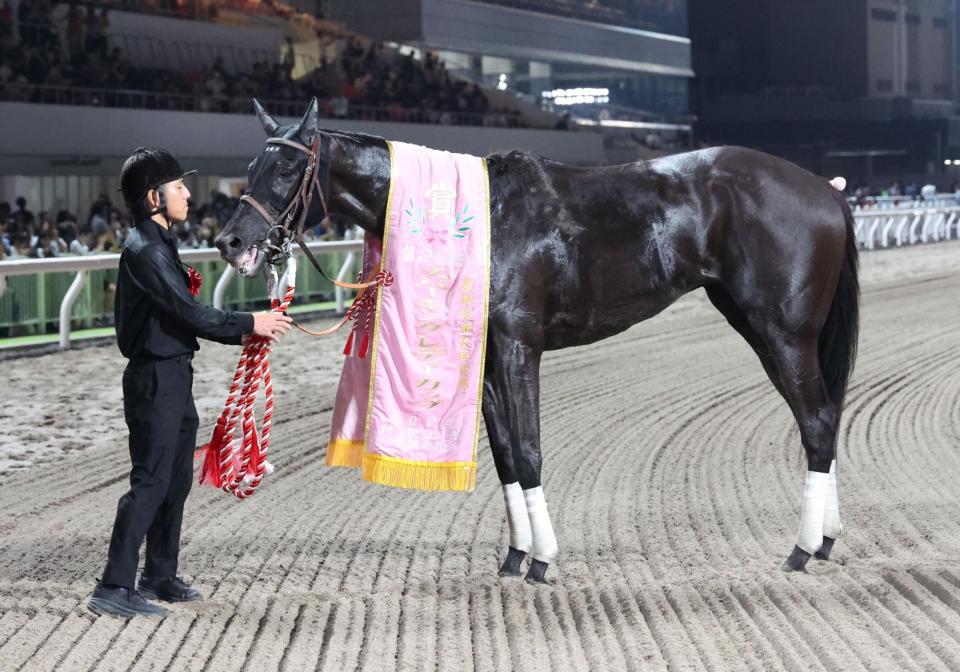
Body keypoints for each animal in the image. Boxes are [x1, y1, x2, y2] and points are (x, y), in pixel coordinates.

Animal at [219, 98, 864, 584]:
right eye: (249, 165)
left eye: (284, 171)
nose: (231, 242)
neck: (482, 220)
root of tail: (827, 189)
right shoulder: (482, 359)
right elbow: (506, 454)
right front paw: (514, 557)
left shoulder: (516, 347)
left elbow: (528, 450)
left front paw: (543, 560)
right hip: (757, 327)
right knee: (822, 418)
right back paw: (825, 539)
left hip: (783, 332)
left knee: (816, 422)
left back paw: (802, 549)